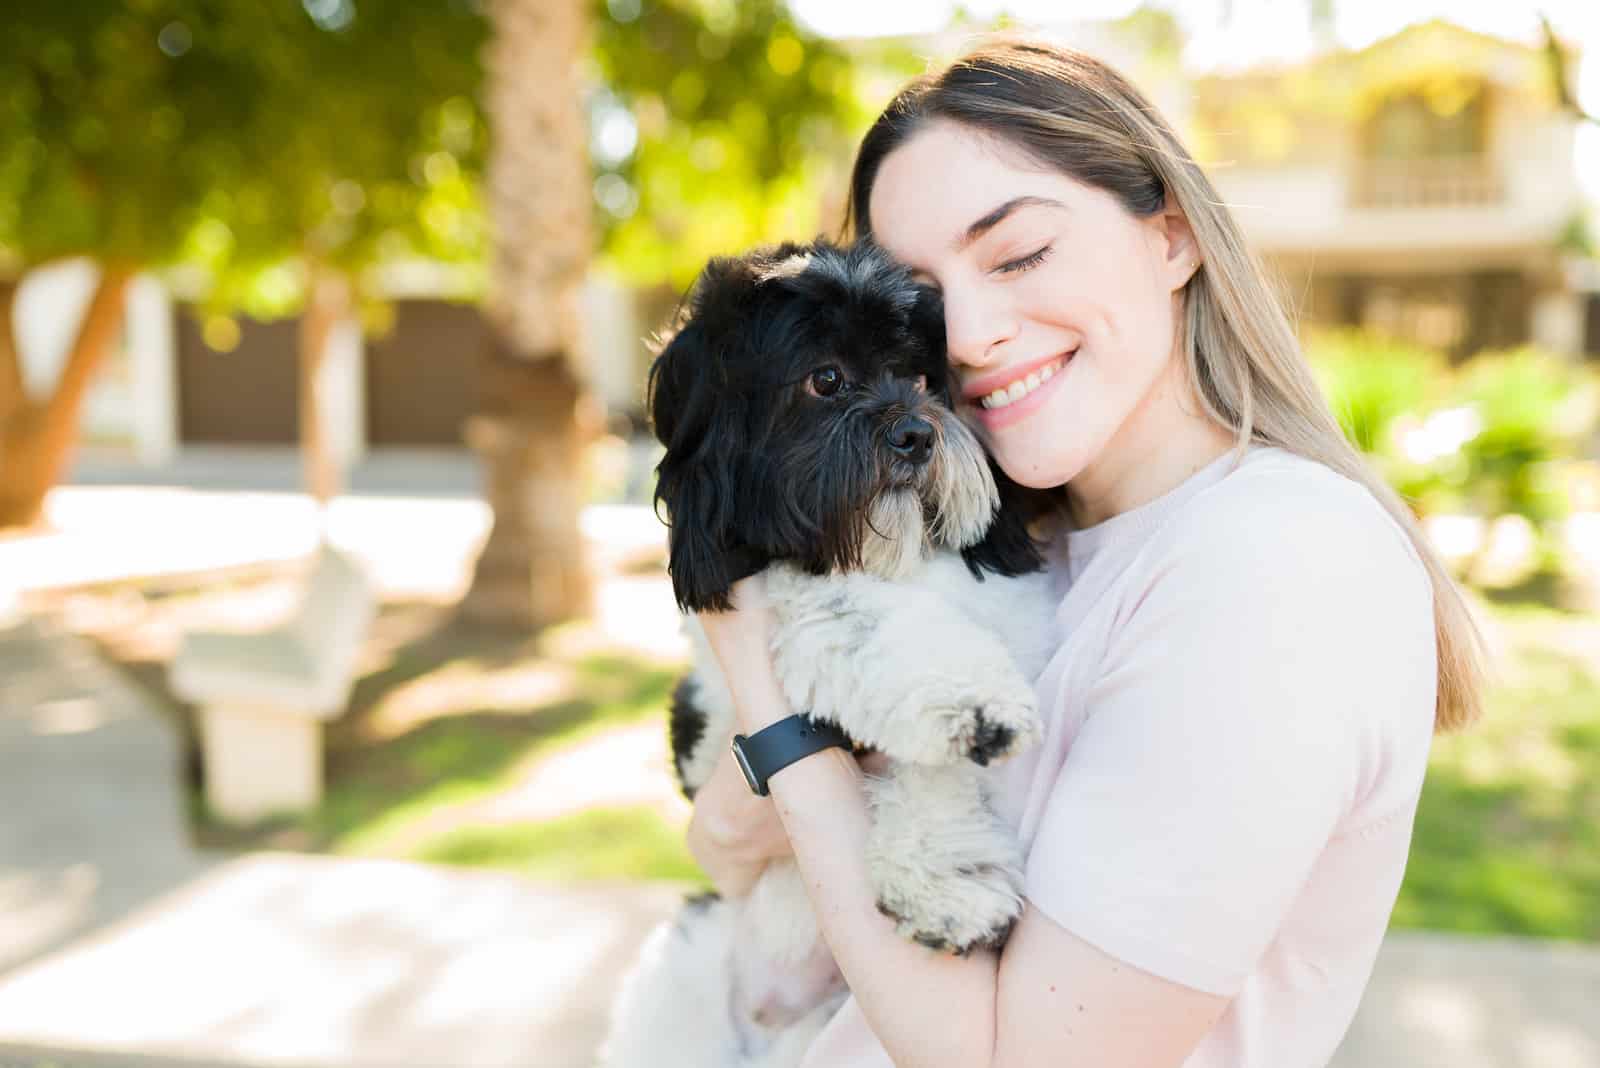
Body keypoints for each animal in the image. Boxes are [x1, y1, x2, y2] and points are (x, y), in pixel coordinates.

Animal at [601, 241, 1062, 1068]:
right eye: (825, 379)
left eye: (923, 379)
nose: (916, 433)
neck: (894, 563)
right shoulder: (778, 616)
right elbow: (868, 626)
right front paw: (969, 703)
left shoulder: (1021, 623)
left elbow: (932, 769)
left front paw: (944, 880)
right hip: (683, 981)